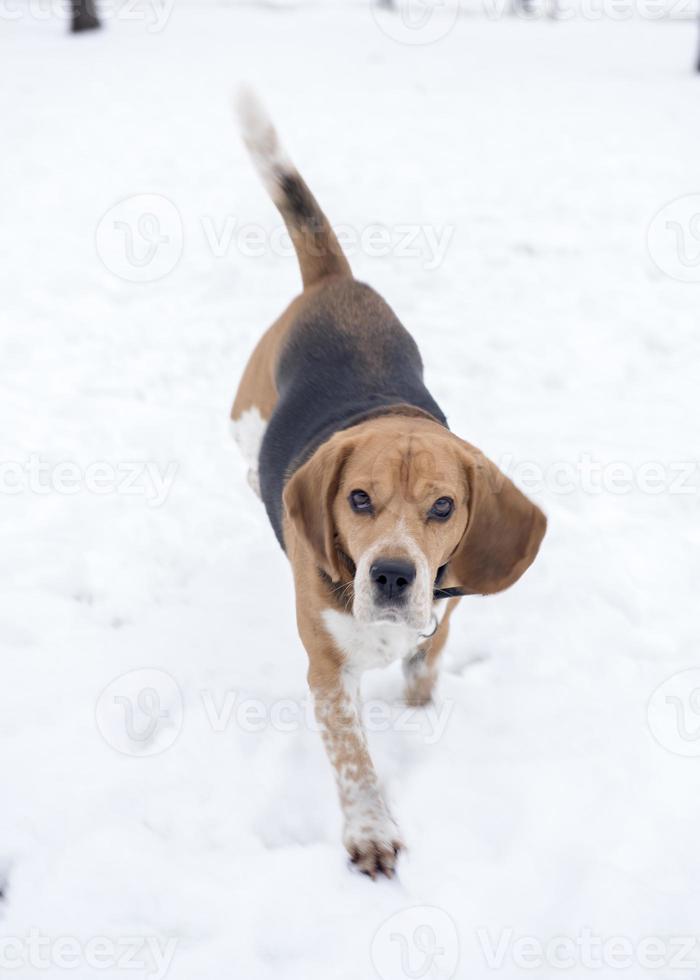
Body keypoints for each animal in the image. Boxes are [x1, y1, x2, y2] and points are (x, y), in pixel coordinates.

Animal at [231, 94, 548, 880]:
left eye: (444, 506)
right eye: (358, 500)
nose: (396, 575)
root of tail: (332, 284)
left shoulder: (444, 613)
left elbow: (424, 666)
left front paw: (419, 707)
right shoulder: (326, 673)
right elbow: (354, 760)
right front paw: (370, 831)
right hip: (242, 421)